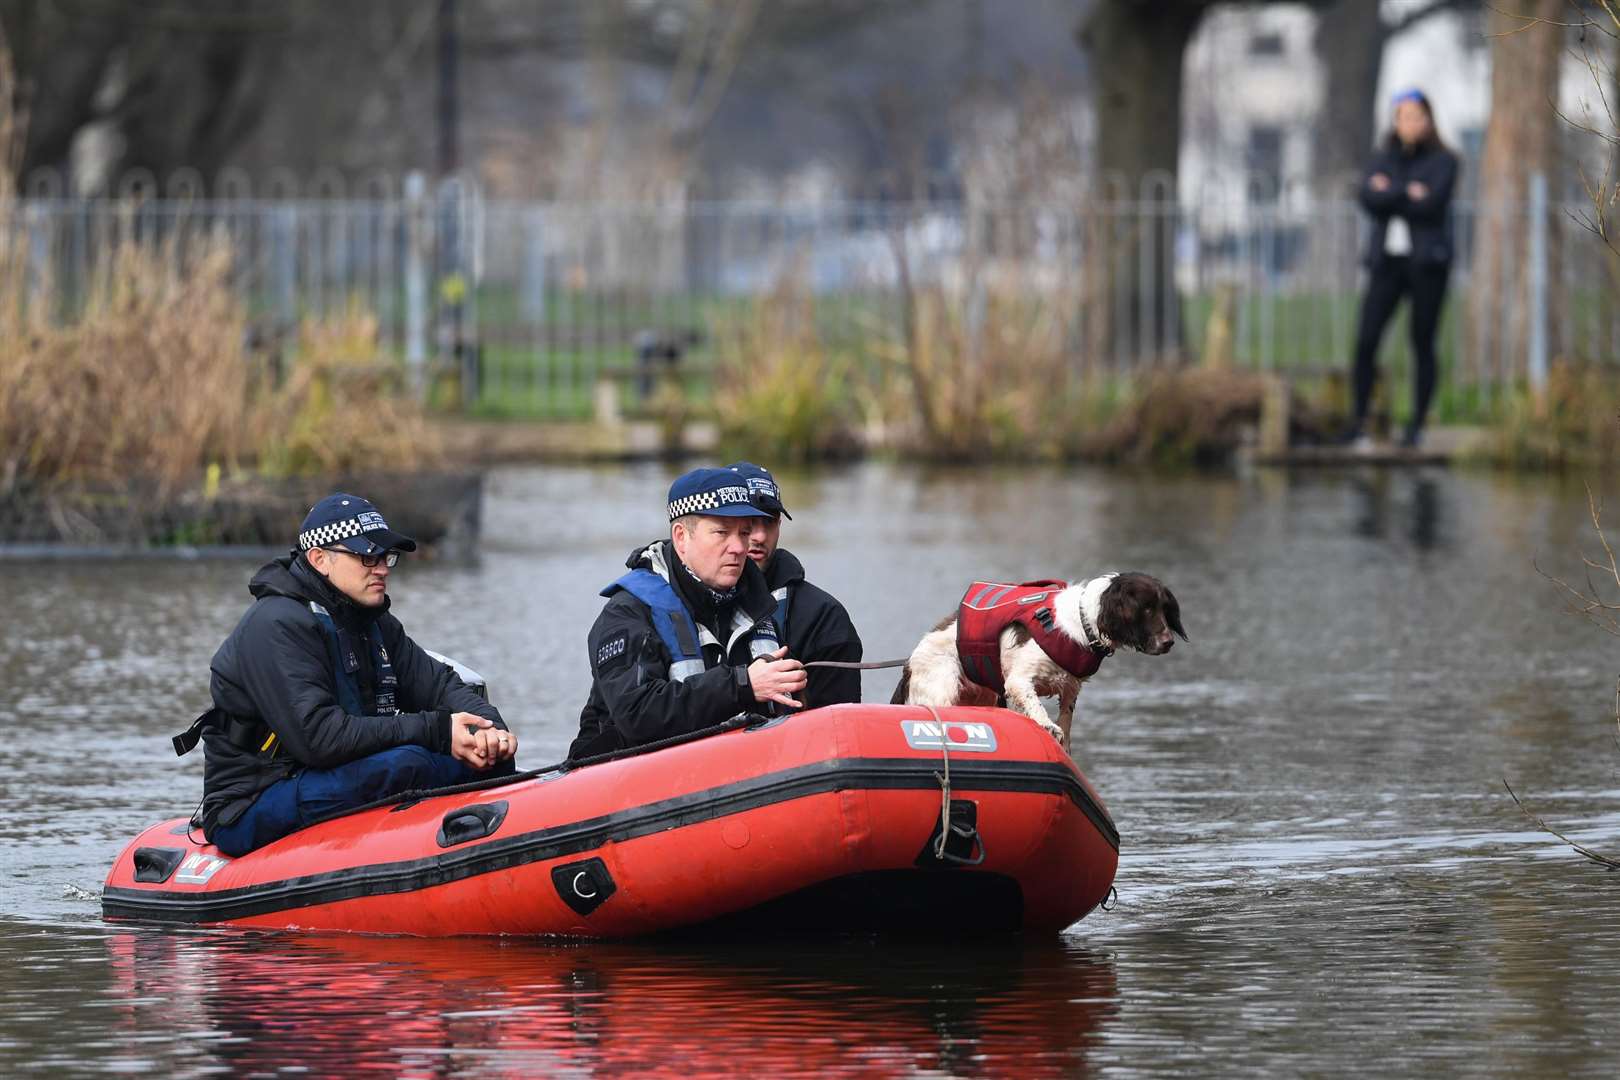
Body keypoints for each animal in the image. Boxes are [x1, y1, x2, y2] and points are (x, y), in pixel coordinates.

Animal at [894, 573, 1185, 751]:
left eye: (1164, 608)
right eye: (1145, 609)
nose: (1169, 642)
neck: (1081, 624)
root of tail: (909, 664)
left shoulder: (1071, 687)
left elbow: (1066, 719)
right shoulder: (1018, 681)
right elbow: (1038, 709)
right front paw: (1048, 727)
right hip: (941, 693)